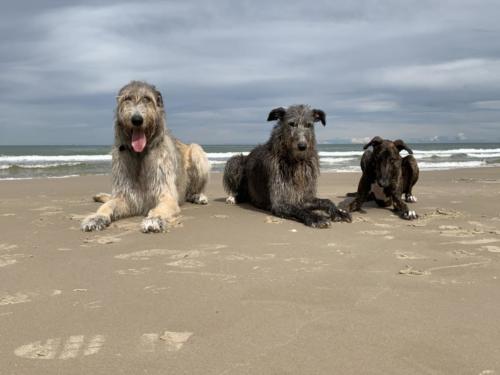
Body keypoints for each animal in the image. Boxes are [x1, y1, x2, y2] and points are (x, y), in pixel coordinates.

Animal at [81, 81, 210, 234]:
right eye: (127, 98)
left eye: (147, 99)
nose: (137, 119)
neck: (140, 154)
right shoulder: (127, 196)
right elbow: (109, 205)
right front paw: (96, 217)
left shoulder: (166, 193)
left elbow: (161, 207)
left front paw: (154, 219)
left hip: (197, 151)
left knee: (193, 188)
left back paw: (198, 196)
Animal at [223, 106, 352, 229]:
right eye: (291, 123)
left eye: (309, 125)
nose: (302, 146)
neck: (296, 161)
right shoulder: (279, 201)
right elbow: (298, 209)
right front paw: (316, 218)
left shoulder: (303, 197)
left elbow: (326, 201)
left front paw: (339, 212)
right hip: (235, 162)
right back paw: (233, 198)